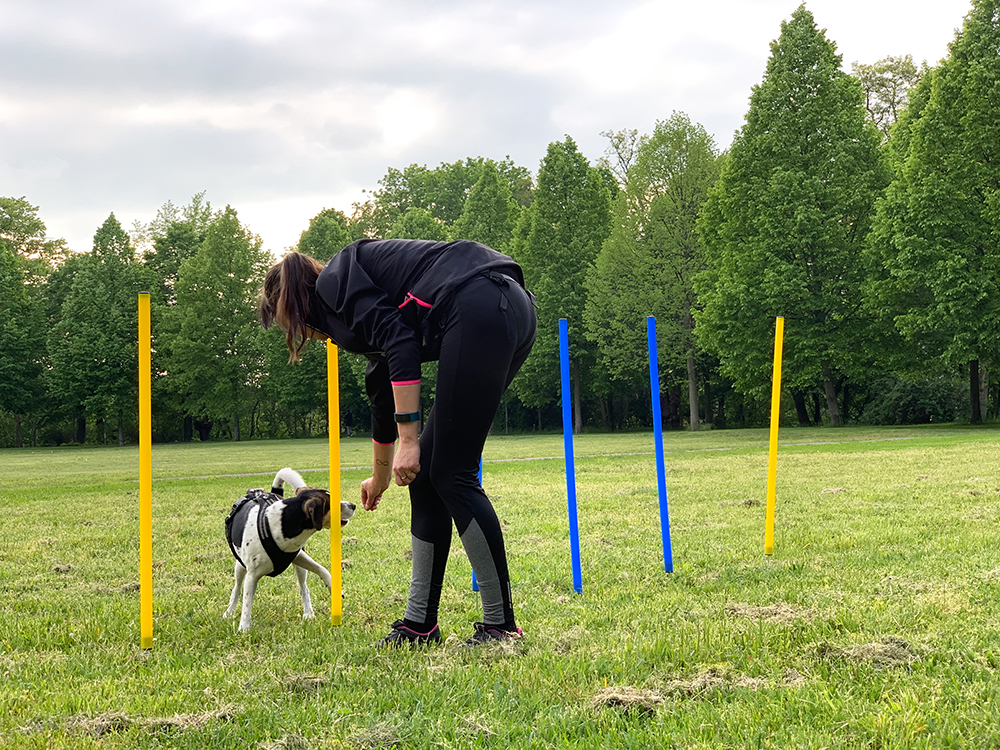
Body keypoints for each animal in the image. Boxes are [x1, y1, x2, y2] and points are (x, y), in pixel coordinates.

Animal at [225, 470, 358, 636]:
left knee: (303, 588)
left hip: (299, 567)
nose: (353, 505)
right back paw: (229, 612)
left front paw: (333, 588)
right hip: (240, 567)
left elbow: (323, 570)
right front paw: (244, 628)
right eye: (332, 503)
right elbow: (247, 603)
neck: (279, 523)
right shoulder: (252, 575)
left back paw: (308, 613)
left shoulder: (297, 555)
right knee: (236, 589)